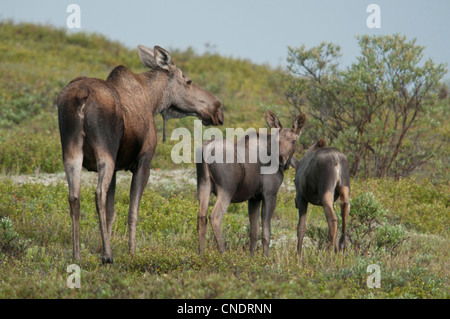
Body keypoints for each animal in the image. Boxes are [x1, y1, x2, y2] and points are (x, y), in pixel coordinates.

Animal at [57, 45, 224, 264]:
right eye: (188, 81)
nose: (217, 108)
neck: (154, 102)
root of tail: (81, 95)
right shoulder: (144, 161)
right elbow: (132, 212)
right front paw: (132, 252)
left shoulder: (117, 167)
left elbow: (111, 212)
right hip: (105, 151)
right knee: (98, 194)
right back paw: (107, 256)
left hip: (71, 150)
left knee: (74, 197)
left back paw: (76, 255)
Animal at [197, 110, 306, 258]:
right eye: (277, 141)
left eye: (293, 141)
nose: (282, 159)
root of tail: (206, 150)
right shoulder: (269, 194)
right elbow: (266, 233)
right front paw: (265, 258)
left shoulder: (254, 198)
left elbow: (254, 231)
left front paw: (251, 257)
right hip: (226, 189)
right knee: (215, 216)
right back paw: (223, 253)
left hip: (203, 185)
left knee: (201, 217)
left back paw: (201, 254)